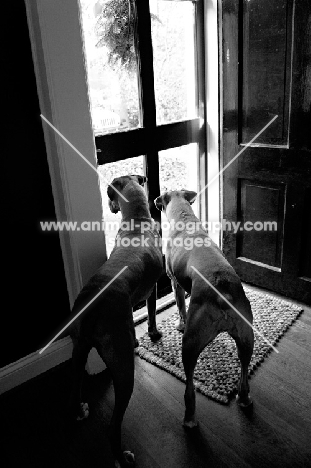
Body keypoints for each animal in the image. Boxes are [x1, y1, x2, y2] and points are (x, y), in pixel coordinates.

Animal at [69, 175, 163, 464]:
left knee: (74, 383)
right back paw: (122, 457)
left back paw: (79, 410)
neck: (137, 219)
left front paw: (138, 339)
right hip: (122, 367)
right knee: (113, 425)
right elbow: (152, 312)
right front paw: (153, 333)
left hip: (78, 348)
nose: (110, 206)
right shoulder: (152, 288)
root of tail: (92, 308)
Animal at [156, 190, 256, 428]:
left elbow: (180, 306)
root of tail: (223, 294)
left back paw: (189, 419)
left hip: (190, 344)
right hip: (246, 337)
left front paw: (179, 324)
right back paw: (244, 398)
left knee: (189, 387)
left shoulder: (174, 283)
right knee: (244, 368)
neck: (184, 218)